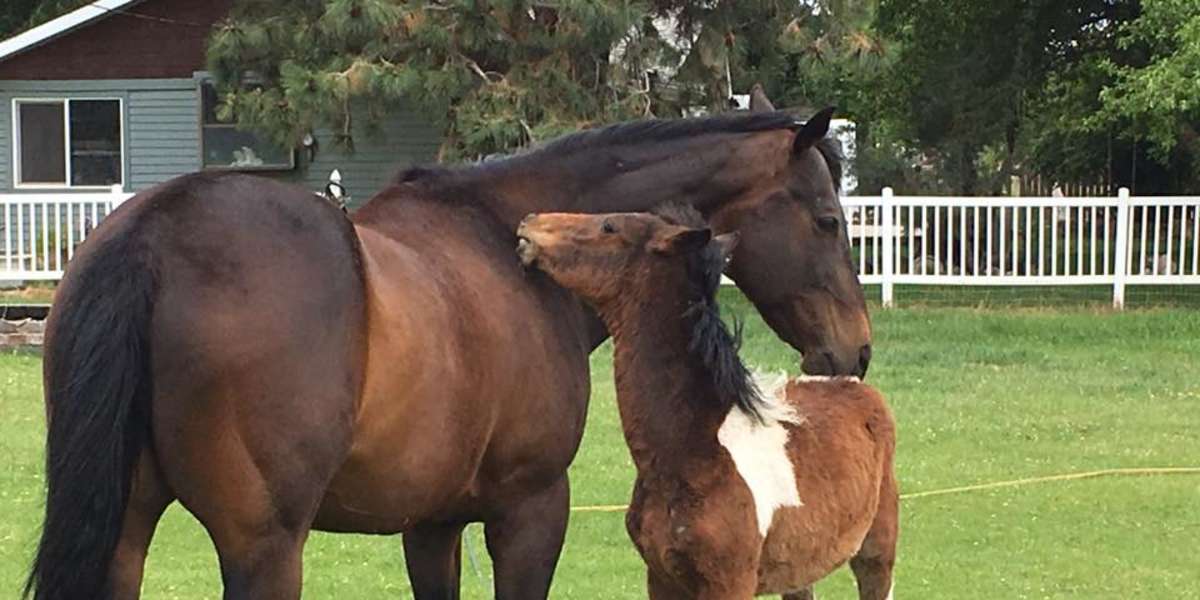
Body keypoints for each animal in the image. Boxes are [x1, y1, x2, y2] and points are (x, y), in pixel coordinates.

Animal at [515, 207, 898, 599]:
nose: (530, 222)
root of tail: (858, 386)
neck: (692, 450)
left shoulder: (730, 582)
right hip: (800, 570)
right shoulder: (662, 577)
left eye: (609, 226)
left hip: (876, 553)